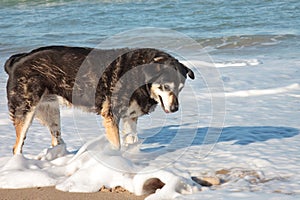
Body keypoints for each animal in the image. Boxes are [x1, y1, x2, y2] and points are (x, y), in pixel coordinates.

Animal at [5, 45, 195, 155]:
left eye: (181, 88)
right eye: (165, 87)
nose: (175, 108)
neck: (140, 75)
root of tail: (17, 61)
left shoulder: (131, 118)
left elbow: (132, 141)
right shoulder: (111, 116)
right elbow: (117, 145)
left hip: (52, 114)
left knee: (56, 139)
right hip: (26, 111)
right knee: (17, 146)